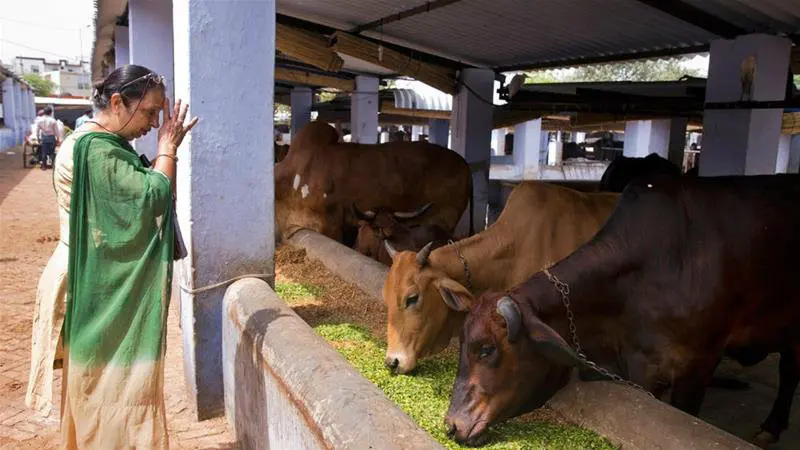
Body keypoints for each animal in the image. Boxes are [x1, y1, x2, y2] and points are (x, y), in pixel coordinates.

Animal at [444, 173, 800, 446]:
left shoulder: (697, 365)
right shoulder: (641, 368)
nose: (451, 424)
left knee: (789, 372)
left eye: (487, 349)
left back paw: (771, 428)